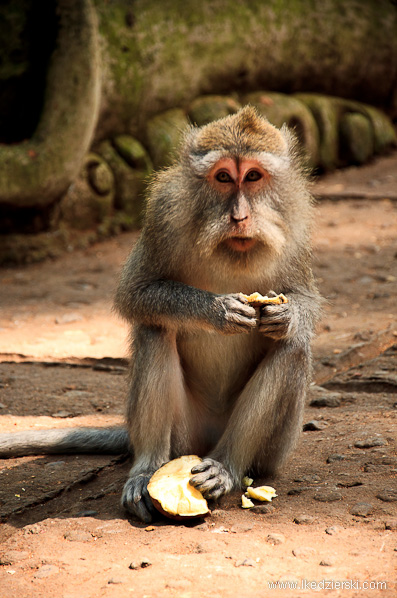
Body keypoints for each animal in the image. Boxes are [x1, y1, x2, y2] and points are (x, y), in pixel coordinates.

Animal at [0, 109, 320, 524]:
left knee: (292, 348)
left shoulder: (297, 222)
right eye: (222, 177)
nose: (239, 216)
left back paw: (226, 467)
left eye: (253, 177)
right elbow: (136, 293)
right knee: (155, 327)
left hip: (274, 449)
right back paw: (146, 471)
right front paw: (217, 310)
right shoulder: (163, 213)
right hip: (183, 434)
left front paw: (285, 314)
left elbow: (304, 301)